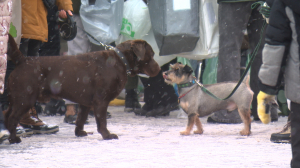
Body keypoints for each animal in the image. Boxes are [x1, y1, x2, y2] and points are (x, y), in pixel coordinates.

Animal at [4, 34, 161, 144]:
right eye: (152, 54)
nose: (159, 69)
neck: (120, 60)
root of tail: (23, 60)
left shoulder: (85, 103)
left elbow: (80, 119)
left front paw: (79, 133)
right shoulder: (101, 100)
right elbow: (102, 121)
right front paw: (107, 135)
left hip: (15, 100)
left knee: (6, 116)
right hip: (25, 99)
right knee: (12, 119)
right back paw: (14, 139)